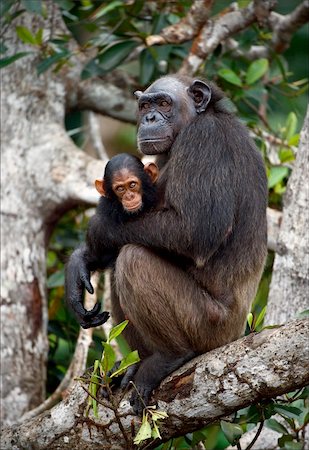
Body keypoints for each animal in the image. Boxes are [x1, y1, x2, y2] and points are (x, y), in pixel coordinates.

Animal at [64, 155, 158, 330]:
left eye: (132, 185)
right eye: (120, 189)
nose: (129, 196)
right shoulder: (104, 206)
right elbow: (98, 256)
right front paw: (75, 289)